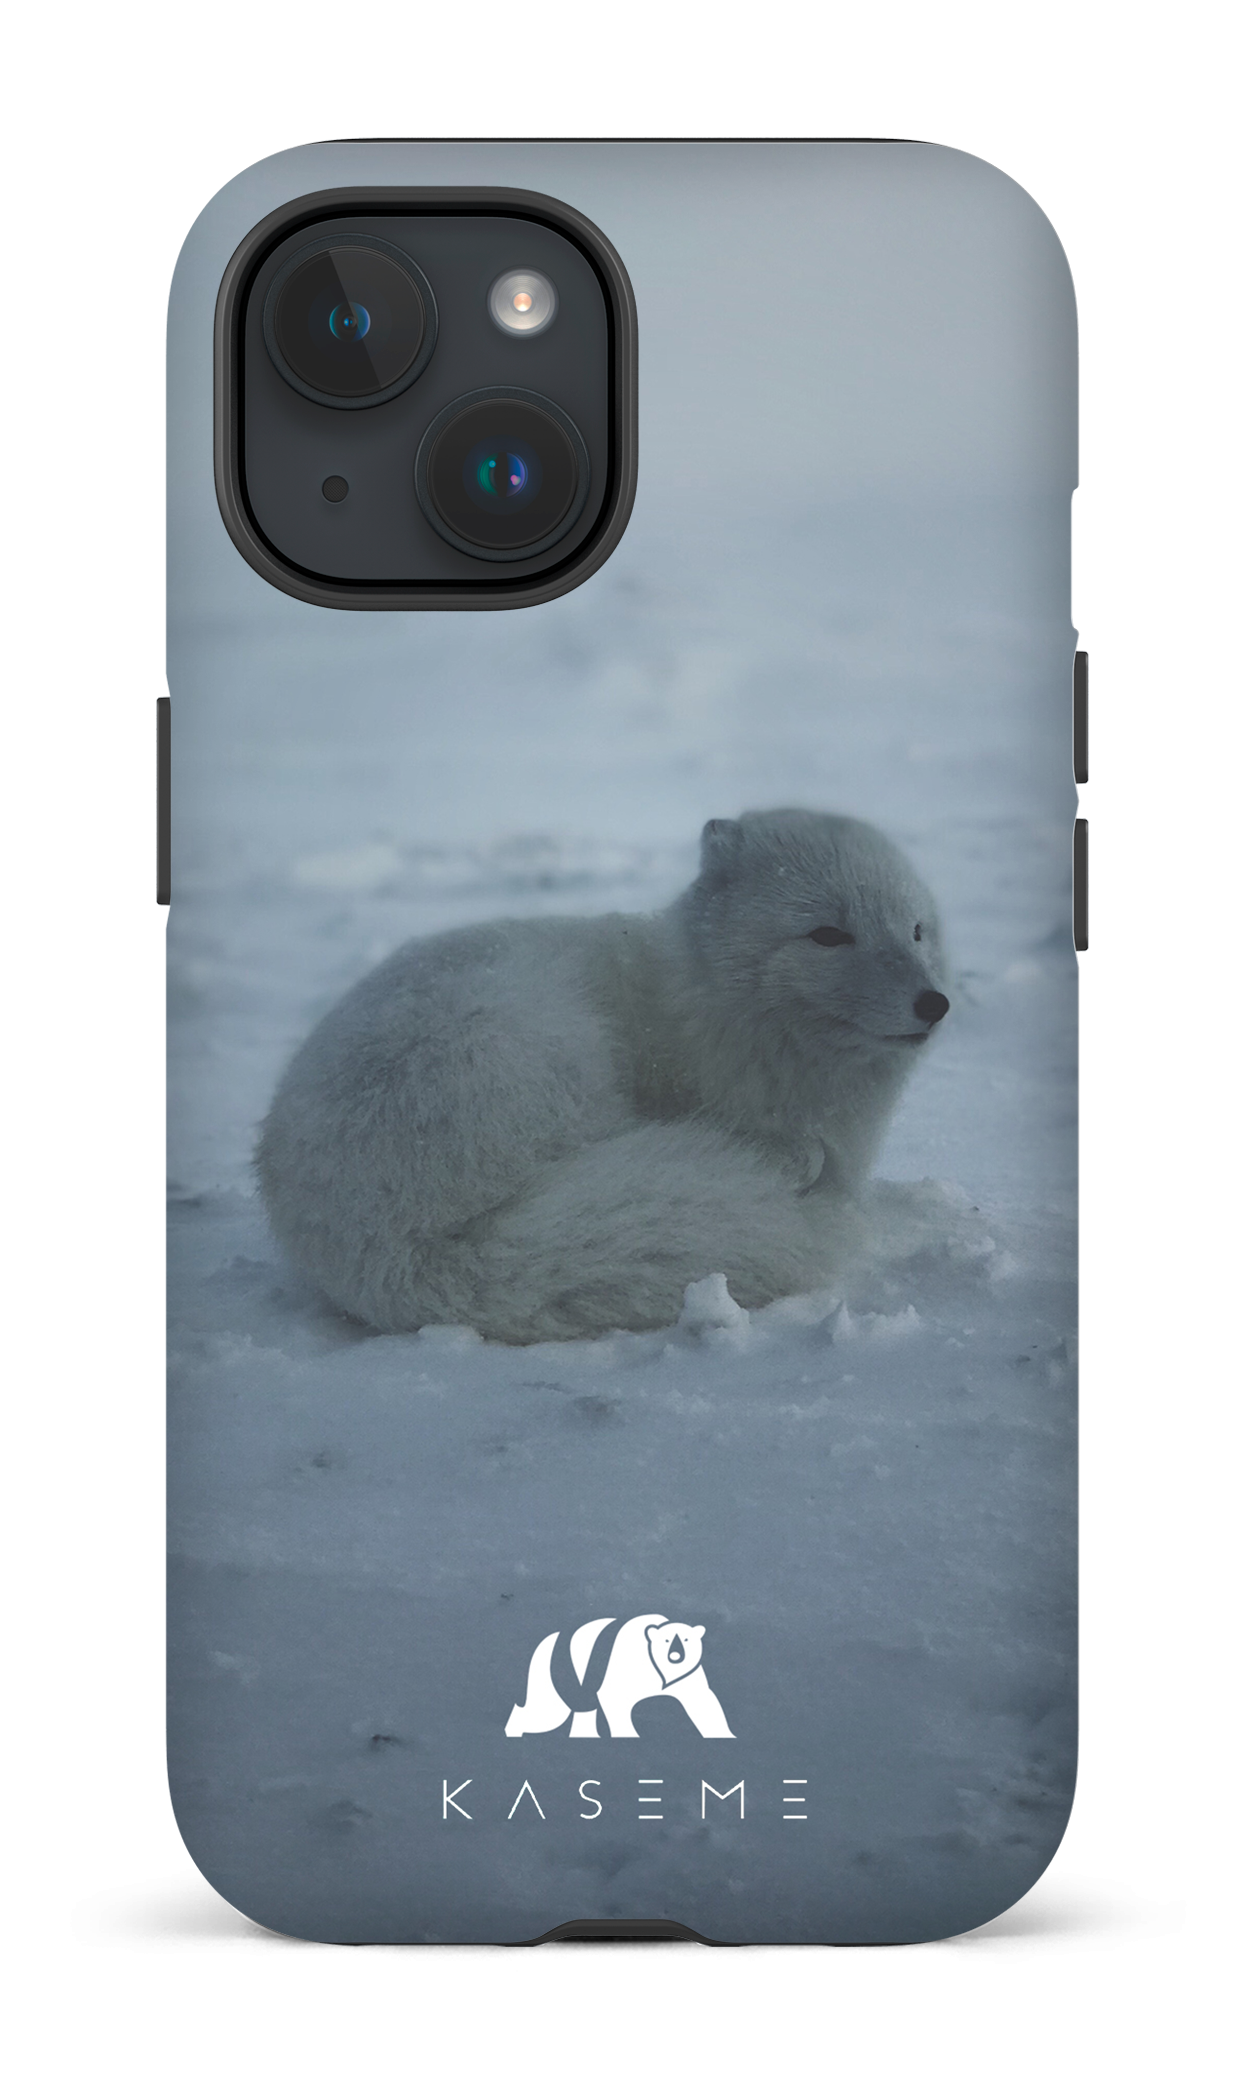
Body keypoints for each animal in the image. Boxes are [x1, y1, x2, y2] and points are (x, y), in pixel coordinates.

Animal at [256, 809, 950, 1343]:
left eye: (916, 930)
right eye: (828, 935)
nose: (934, 1003)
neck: (705, 1003)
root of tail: (396, 1252)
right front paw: (793, 1160)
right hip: (537, 1047)